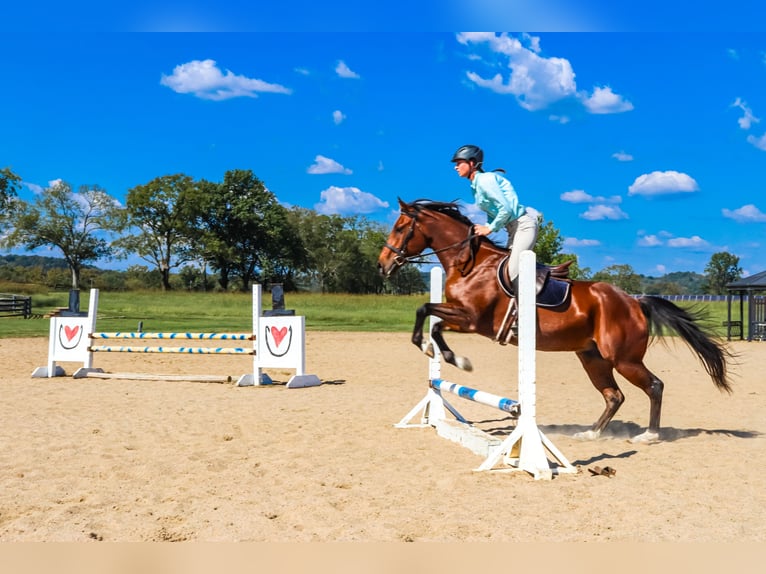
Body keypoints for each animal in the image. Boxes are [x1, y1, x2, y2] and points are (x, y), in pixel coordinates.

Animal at [380, 199, 736, 446]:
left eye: (400, 227)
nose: (383, 264)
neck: (470, 263)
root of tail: (634, 301)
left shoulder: (471, 319)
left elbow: (429, 316)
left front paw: (453, 357)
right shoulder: (459, 314)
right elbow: (429, 315)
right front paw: (435, 351)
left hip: (624, 358)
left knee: (654, 386)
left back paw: (649, 435)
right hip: (592, 357)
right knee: (614, 396)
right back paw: (592, 434)